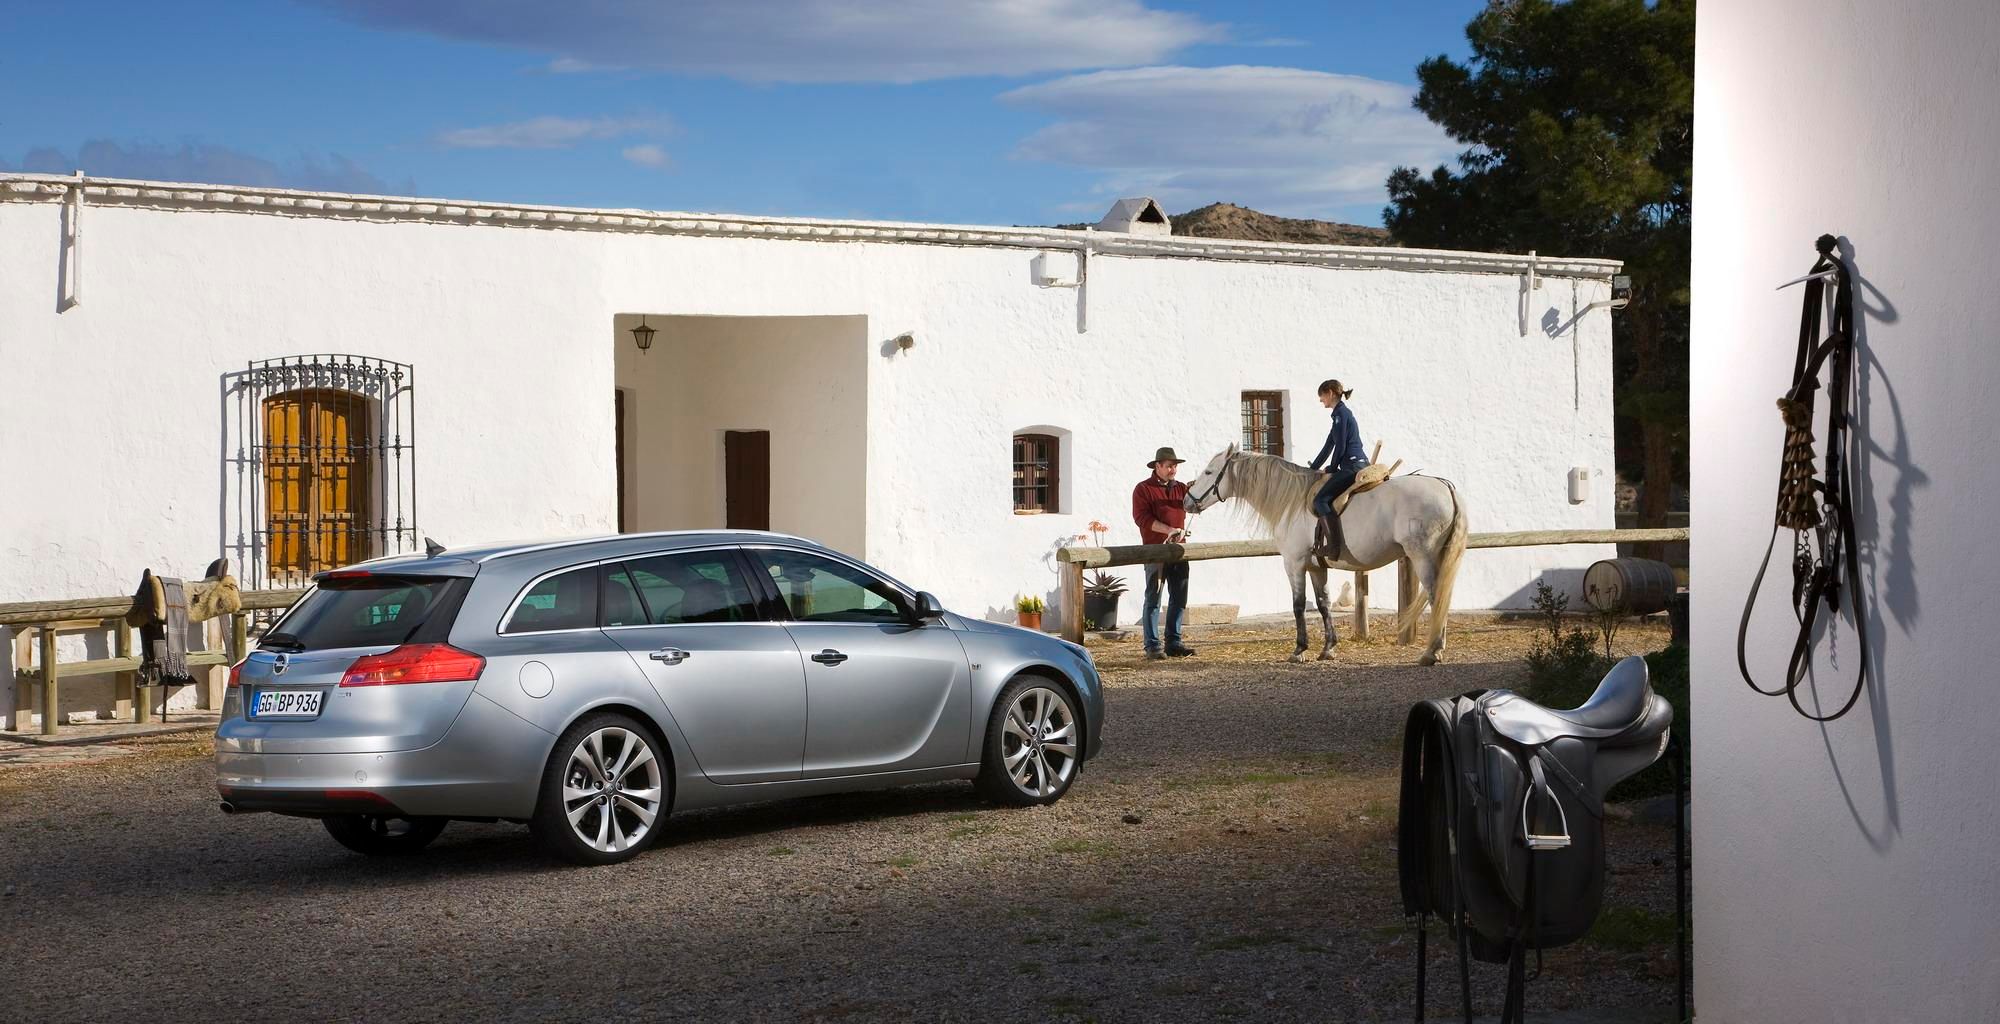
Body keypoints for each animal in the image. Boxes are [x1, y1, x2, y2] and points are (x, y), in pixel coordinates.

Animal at [1168, 446, 1472, 664]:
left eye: (1209, 472)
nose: (1187, 502)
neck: (1291, 501)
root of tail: (1444, 485)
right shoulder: (1317, 567)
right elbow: (1324, 604)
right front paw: (1328, 649)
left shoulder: (1294, 563)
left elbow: (1299, 605)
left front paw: (1299, 650)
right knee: (1442, 596)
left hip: (1422, 556)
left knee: (1435, 596)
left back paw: (1432, 651)